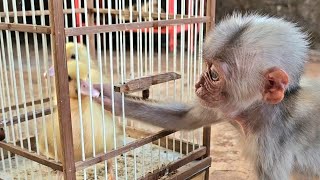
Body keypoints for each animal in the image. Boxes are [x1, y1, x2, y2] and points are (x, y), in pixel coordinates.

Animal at [93, 13, 320, 179]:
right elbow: (185, 119)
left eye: (213, 75)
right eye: (207, 66)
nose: (198, 84)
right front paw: (107, 97)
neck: (260, 112)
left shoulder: (271, 145)